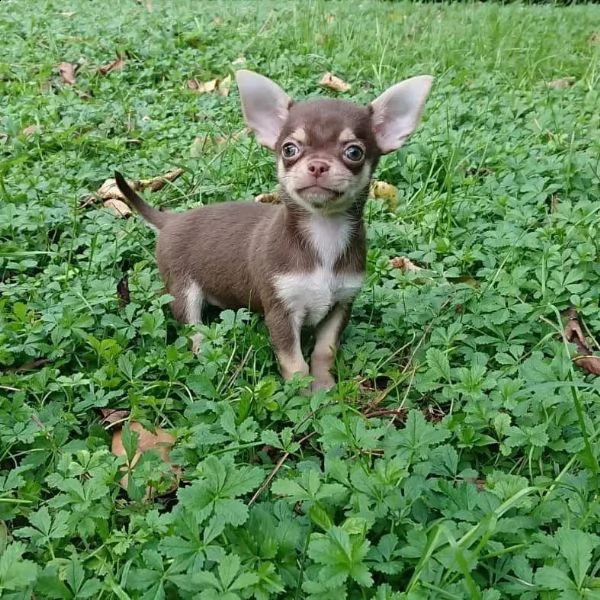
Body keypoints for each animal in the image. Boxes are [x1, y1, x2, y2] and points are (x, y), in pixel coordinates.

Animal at [113, 69, 432, 390]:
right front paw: (305, 396)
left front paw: (324, 387)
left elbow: (323, 352)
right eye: (289, 149)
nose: (317, 165)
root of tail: (171, 220)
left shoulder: (341, 305)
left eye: (354, 152)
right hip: (183, 290)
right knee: (194, 330)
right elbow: (295, 363)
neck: (323, 231)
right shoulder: (281, 313)